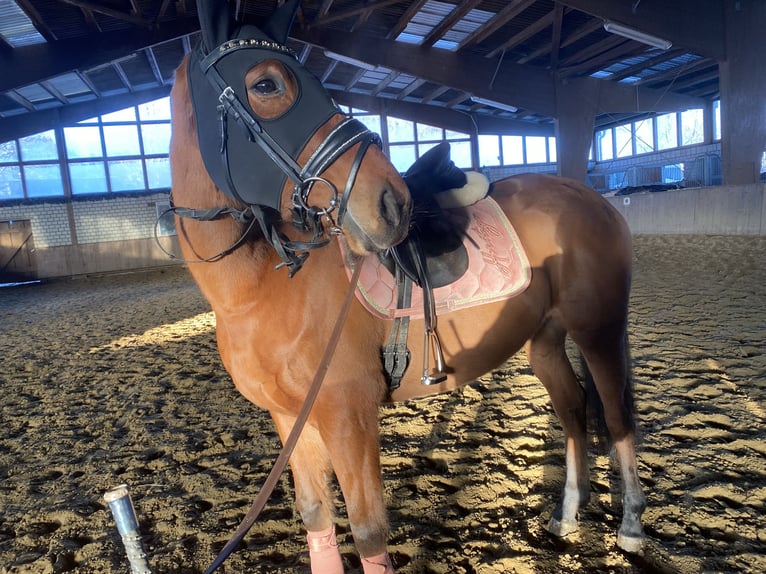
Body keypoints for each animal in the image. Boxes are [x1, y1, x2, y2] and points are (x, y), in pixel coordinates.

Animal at [171, 2, 644, 572]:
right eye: (265, 84)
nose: (393, 202)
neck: (262, 289)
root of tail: (592, 197)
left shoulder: (348, 416)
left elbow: (369, 531)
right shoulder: (289, 419)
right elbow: (316, 515)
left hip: (598, 330)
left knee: (616, 416)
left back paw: (631, 525)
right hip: (545, 340)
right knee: (573, 410)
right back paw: (568, 515)